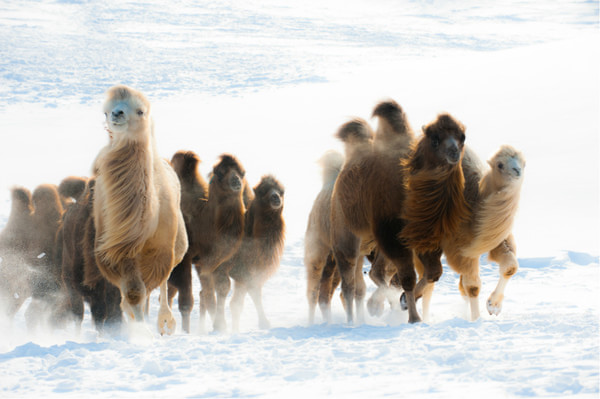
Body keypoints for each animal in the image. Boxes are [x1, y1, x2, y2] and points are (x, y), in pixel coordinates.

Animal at [93, 85, 188, 338]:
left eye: (140, 111)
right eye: (105, 111)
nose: (116, 113)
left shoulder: (160, 252)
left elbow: (149, 287)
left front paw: (150, 328)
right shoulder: (118, 251)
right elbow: (133, 293)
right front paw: (136, 329)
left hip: (175, 249)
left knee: (162, 285)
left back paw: (165, 323)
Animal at [229, 175, 288, 332]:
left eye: (281, 191)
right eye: (262, 191)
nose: (275, 197)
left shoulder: (245, 273)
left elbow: (236, 304)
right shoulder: (244, 271)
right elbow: (253, 294)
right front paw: (264, 323)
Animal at [330, 100, 420, 324]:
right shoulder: (392, 231)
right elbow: (406, 276)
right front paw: (414, 317)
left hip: (370, 241)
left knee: (371, 276)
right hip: (346, 237)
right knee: (350, 283)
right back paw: (352, 321)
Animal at [414, 145, 528, 320]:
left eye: (524, 163)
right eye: (500, 165)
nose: (517, 171)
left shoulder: (494, 239)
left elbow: (510, 267)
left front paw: (493, 306)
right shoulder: (460, 248)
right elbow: (473, 286)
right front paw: (476, 320)